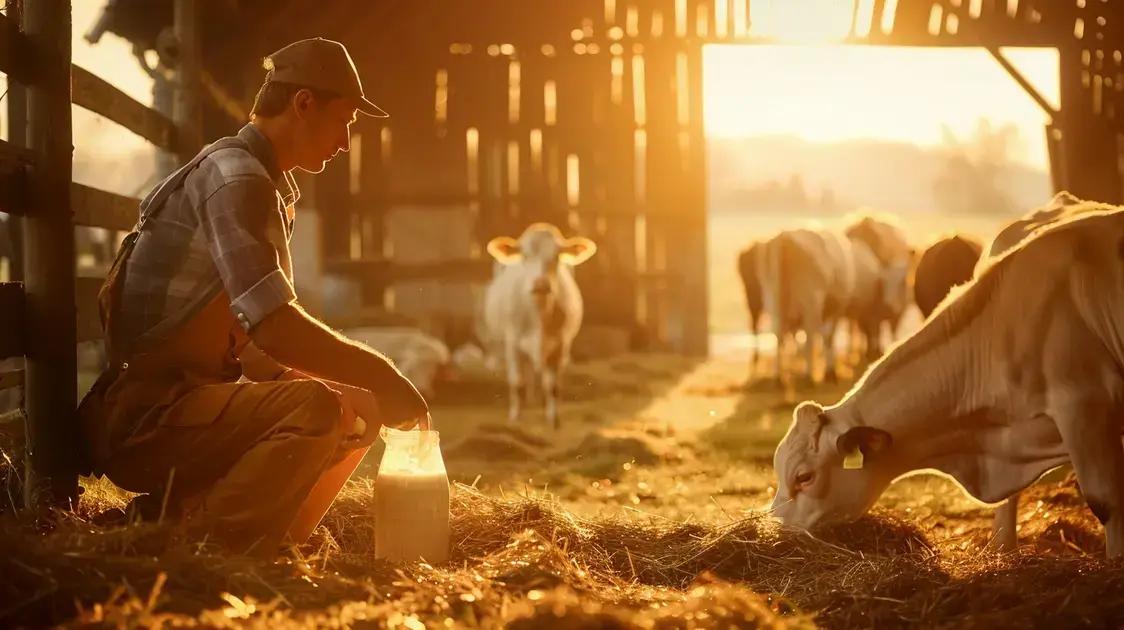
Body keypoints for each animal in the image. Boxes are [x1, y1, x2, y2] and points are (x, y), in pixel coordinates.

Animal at [481, 222, 597, 427]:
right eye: (525, 256)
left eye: (556, 256)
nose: (540, 283)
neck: (539, 315)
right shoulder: (513, 343)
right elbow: (517, 382)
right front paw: (515, 417)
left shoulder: (560, 344)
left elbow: (552, 386)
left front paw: (553, 419)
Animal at [755, 227, 849, 384]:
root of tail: (785, 236)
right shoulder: (835, 310)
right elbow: (828, 337)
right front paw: (830, 372)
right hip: (811, 301)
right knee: (809, 338)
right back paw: (809, 376)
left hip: (774, 301)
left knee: (779, 337)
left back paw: (779, 378)